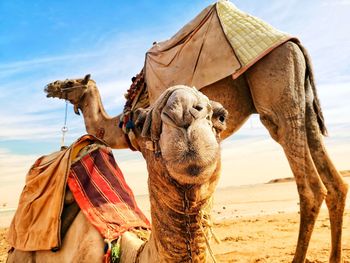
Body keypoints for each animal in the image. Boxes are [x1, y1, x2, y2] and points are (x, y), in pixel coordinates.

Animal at [41, 39, 348, 263]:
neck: (120, 122)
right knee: (335, 183)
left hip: (277, 96)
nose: (49, 86)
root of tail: (295, 45)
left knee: (311, 188)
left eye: (70, 82)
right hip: (303, 103)